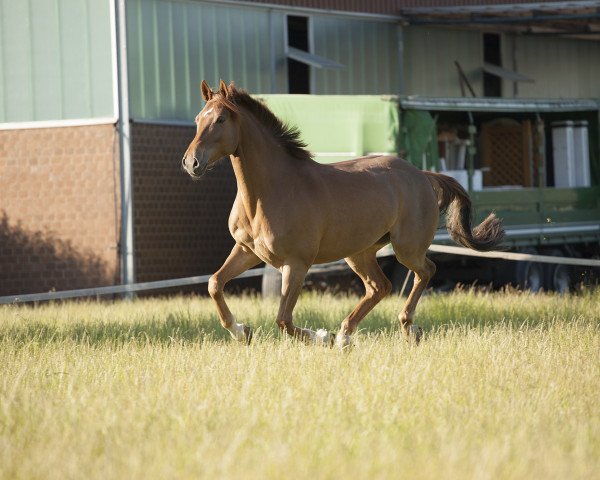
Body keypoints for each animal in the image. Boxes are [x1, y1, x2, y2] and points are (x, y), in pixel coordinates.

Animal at [182, 80, 502, 346]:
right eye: (198, 119)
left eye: (221, 119)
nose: (191, 163)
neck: (270, 192)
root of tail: (422, 175)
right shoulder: (247, 250)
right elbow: (214, 284)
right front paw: (242, 332)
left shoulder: (296, 264)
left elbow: (283, 319)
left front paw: (320, 336)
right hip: (359, 252)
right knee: (379, 287)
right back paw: (345, 336)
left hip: (405, 249)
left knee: (426, 271)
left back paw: (407, 328)